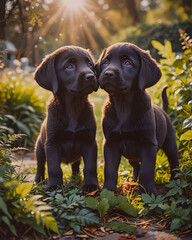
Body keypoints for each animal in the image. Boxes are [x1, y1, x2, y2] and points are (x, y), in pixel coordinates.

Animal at [34, 46, 99, 192]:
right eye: (69, 66)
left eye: (89, 64)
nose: (91, 76)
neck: (73, 107)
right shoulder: (52, 143)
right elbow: (54, 168)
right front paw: (54, 186)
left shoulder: (90, 142)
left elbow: (90, 167)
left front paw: (91, 186)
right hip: (39, 148)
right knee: (40, 165)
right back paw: (38, 180)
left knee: (75, 165)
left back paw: (76, 178)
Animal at [97, 42, 179, 193]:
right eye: (106, 62)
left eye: (127, 63)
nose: (108, 74)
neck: (123, 105)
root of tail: (163, 111)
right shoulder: (110, 143)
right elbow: (109, 169)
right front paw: (108, 191)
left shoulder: (148, 144)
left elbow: (147, 171)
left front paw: (147, 193)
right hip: (132, 156)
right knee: (136, 166)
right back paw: (133, 180)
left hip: (170, 143)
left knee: (174, 163)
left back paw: (174, 181)